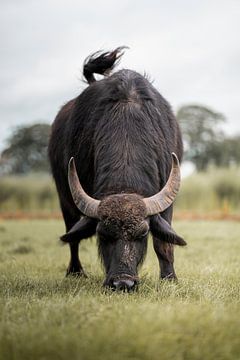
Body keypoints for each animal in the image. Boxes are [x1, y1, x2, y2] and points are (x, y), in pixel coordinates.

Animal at [48, 46, 187, 292]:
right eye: (103, 234)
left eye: (142, 233)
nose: (123, 282)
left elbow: (163, 243)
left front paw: (169, 278)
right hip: (64, 198)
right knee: (72, 235)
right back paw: (75, 272)